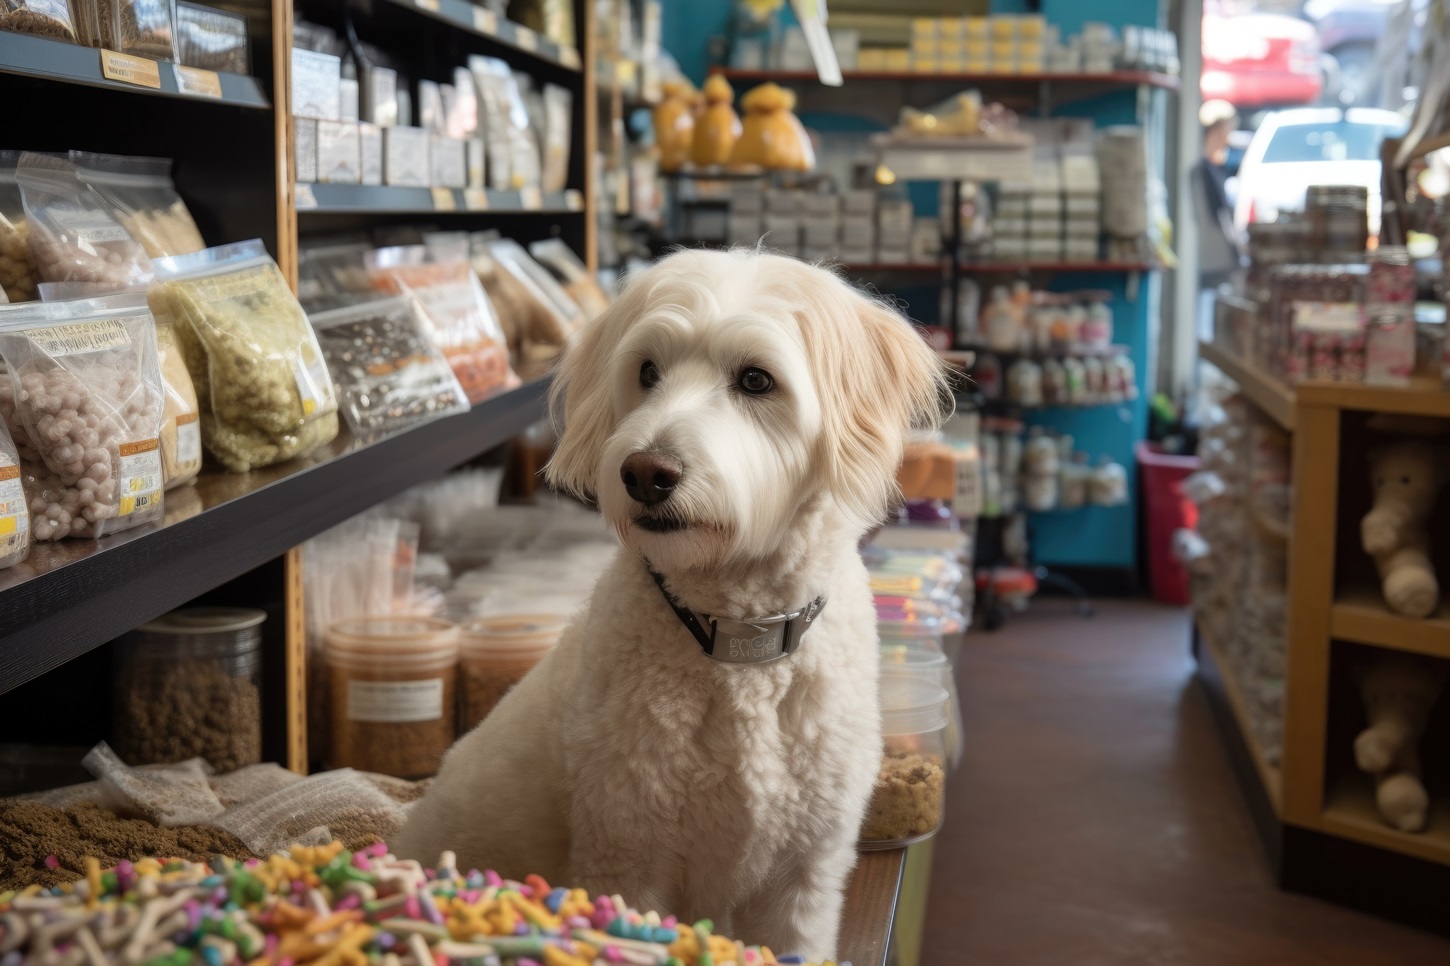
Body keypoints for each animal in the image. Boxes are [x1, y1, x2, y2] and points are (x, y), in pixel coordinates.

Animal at [397, 248, 945, 957]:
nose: (644, 473)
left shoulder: (804, 879)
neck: (739, 643)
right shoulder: (627, 860)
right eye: (647, 372)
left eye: (756, 380)